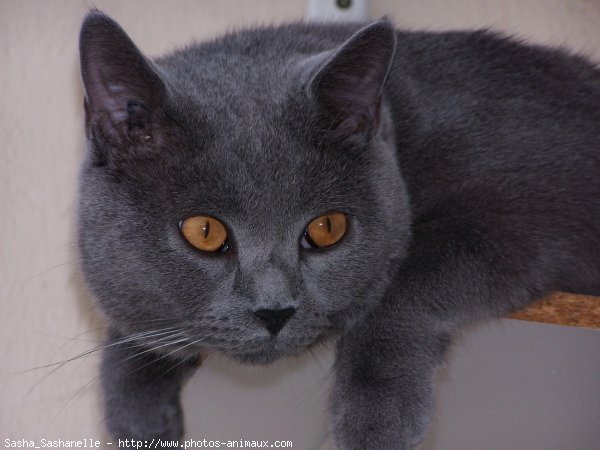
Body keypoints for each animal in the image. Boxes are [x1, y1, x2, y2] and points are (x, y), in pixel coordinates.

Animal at [79, 8, 600, 448]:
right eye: (204, 232)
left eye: (327, 227)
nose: (274, 311)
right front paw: (136, 416)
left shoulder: (521, 212)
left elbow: (409, 280)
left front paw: (375, 422)